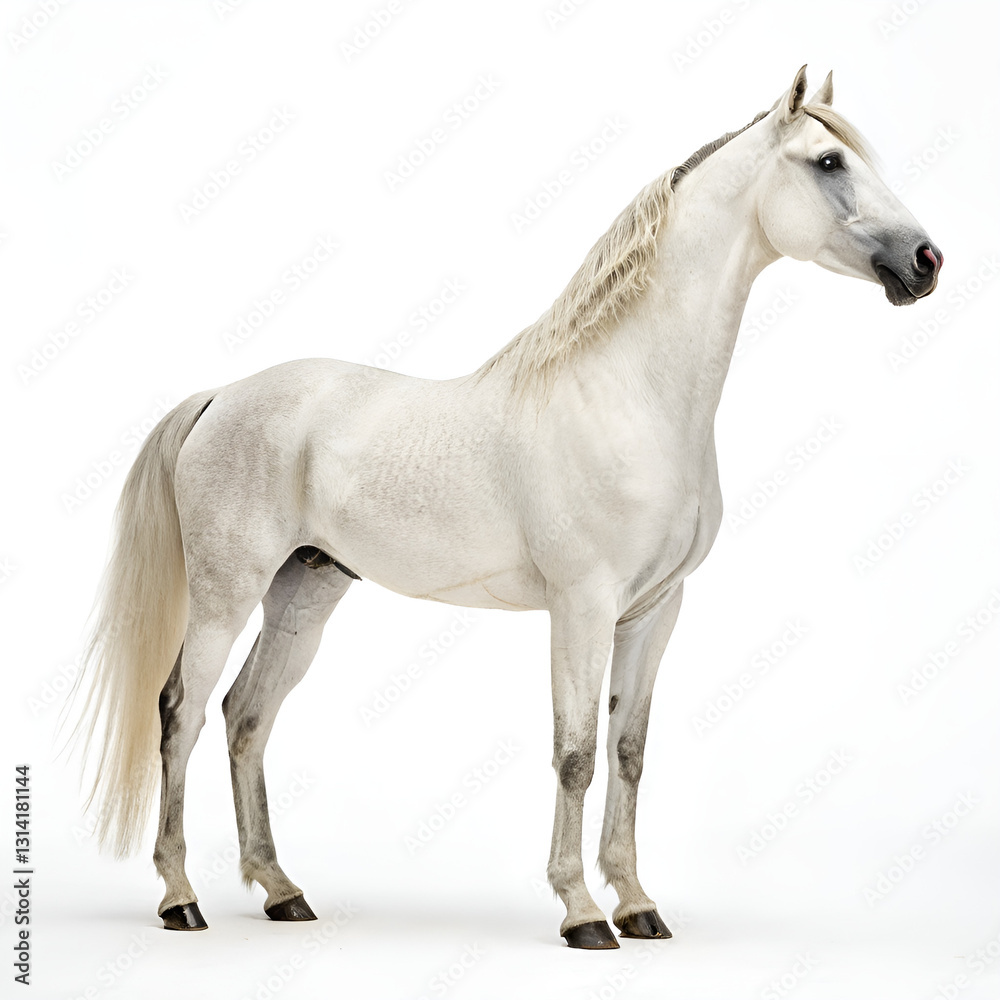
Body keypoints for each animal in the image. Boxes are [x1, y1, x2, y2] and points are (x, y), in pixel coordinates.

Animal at [72, 66, 942, 949]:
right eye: (829, 161)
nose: (926, 260)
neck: (630, 397)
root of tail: (221, 396)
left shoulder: (654, 610)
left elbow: (628, 751)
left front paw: (638, 904)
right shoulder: (583, 605)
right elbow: (576, 753)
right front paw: (583, 912)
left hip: (304, 590)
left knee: (247, 716)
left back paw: (283, 891)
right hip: (227, 592)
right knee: (180, 714)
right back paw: (180, 898)